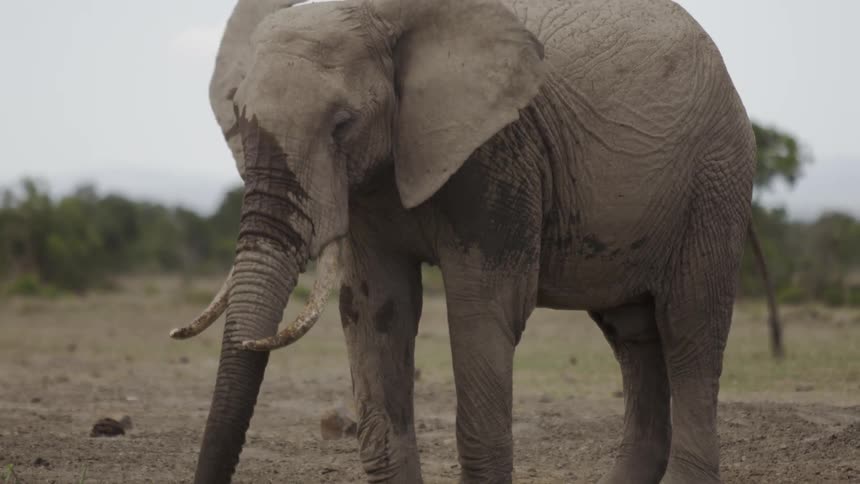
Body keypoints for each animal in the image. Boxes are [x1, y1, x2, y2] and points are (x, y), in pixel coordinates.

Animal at [170, 0, 783, 482]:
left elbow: (483, 311)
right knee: (634, 337)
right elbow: (378, 311)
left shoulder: (500, 153)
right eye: (238, 117)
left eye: (343, 125)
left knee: (689, 330)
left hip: (714, 180)